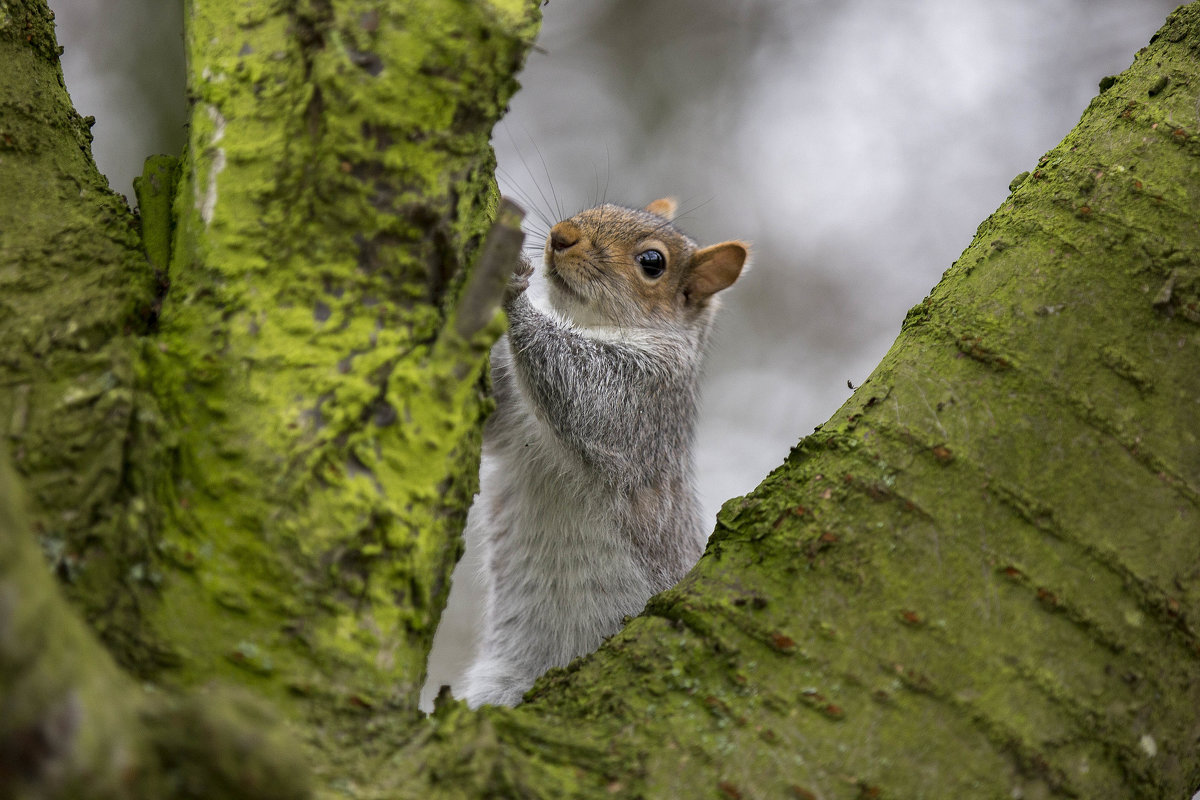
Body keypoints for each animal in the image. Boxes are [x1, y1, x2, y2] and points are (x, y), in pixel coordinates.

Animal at [460, 199, 748, 705]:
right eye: (597, 207)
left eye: (652, 262)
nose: (561, 235)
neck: (593, 325)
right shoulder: (512, 418)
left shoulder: (642, 399)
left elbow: (584, 396)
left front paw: (514, 293)